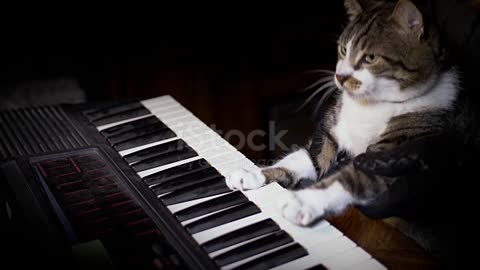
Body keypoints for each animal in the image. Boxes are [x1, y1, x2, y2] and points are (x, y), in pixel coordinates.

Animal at [225, 0, 462, 229]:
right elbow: (300, 161)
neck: (370, 105)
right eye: (342, 49)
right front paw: (253, 174)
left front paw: (303, 201)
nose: (340, 76)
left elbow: (349, 179)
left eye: (371, 57)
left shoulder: (390, 155)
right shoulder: (327, 141)